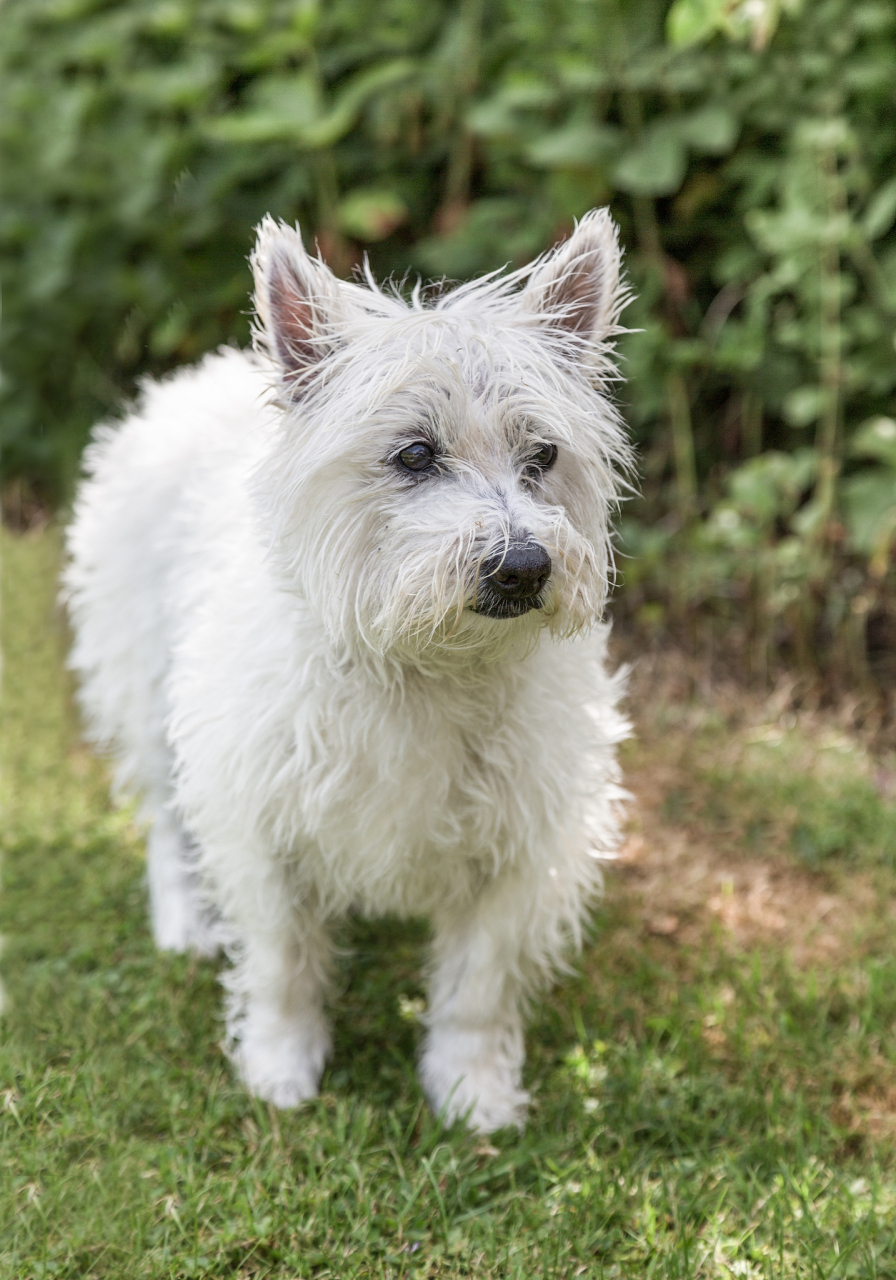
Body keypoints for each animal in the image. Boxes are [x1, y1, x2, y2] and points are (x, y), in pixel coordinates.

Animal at [64, 209, 629, 1131]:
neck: (423, 663)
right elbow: (283, 963)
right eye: (414, 455)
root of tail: (190, 380)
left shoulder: (521, 845)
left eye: (544, 455)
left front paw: (472, 1091)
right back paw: (184, 921)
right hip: (144, 687)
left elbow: (478, 984)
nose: (523, 567)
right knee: (163, 818)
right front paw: (279, 1065)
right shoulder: (260, 824)